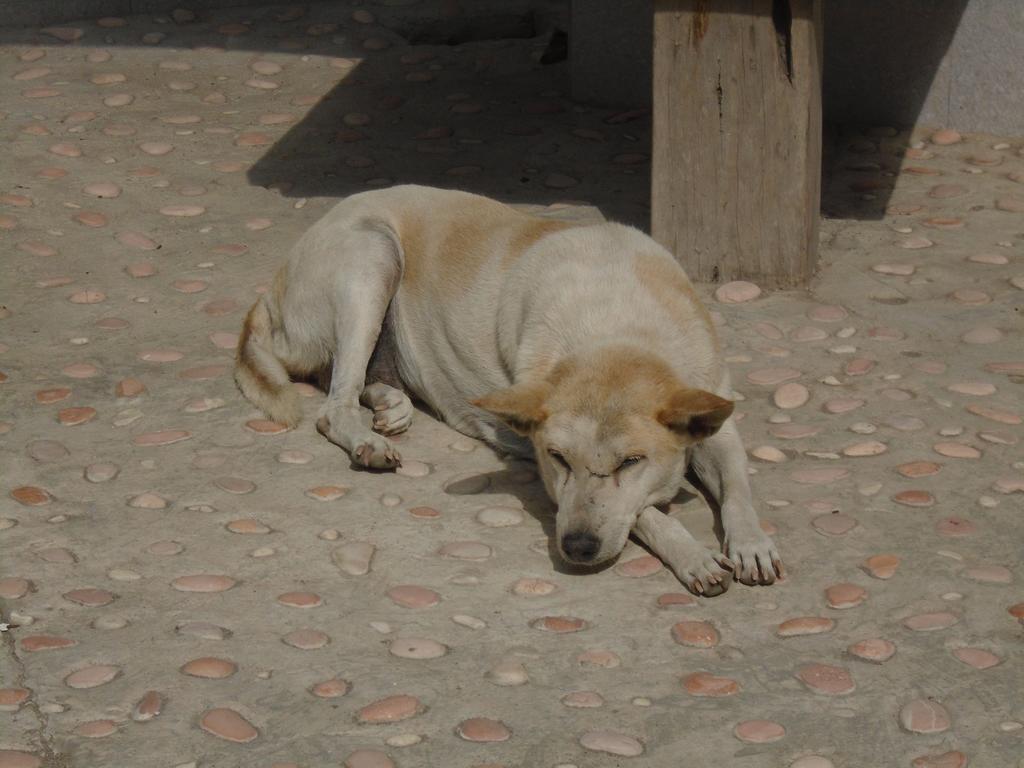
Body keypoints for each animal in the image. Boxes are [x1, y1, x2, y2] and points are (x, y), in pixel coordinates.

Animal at [235, 186, 782, 593]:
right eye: (558, 459)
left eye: (631, 461)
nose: (576, 549)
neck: (619, 332)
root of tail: (271, 291)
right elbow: (644, 513)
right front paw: (693, 554)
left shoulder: (716, 421)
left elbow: (738, 487)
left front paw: (752, 543)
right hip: (373, 255)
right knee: (334, 404)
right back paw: (369, 441)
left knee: (352, 383)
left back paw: (393, 404)